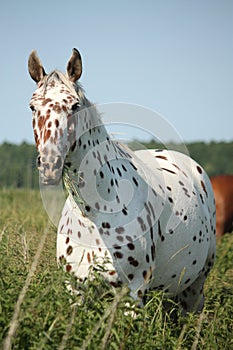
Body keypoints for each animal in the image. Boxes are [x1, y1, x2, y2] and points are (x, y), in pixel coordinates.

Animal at [28, 47, 216, 314]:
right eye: (32, 107)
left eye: (74, 106)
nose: (50, 165)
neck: (94, 215)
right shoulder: (75, 291)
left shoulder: (133, 294)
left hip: (195, 286)